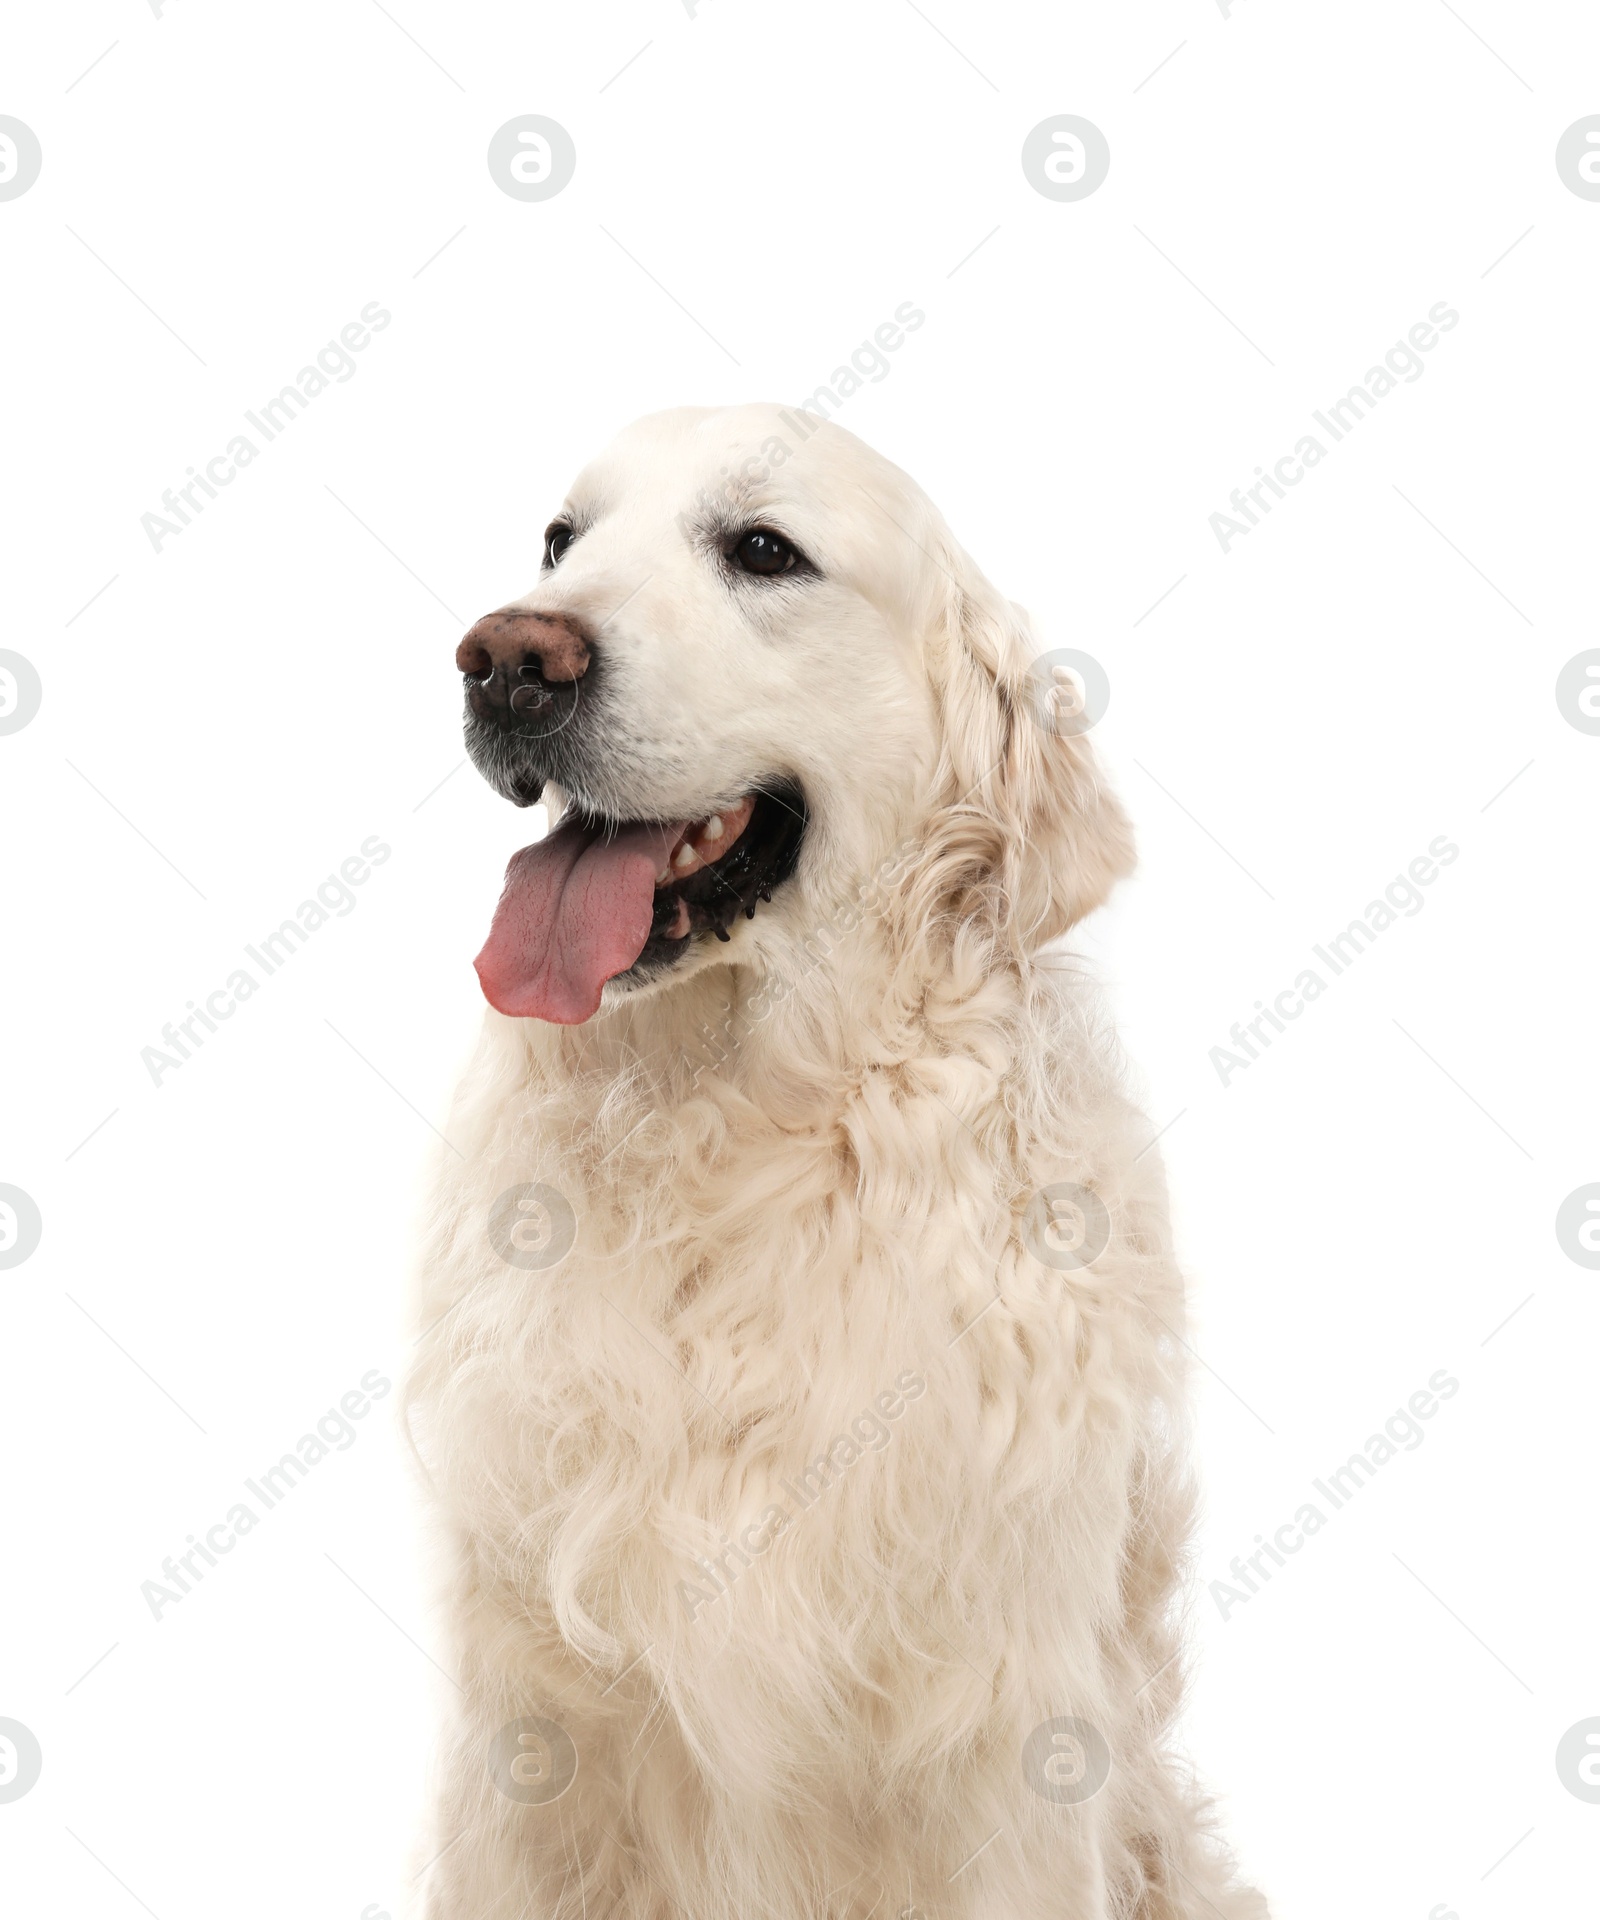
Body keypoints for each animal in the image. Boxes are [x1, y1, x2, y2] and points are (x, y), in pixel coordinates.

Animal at [405, 408, 1267, 1920]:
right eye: (560, 542)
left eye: (764, 551)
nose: (508, 657)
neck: (743, 1133)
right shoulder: (532, 1720)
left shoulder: (1002, 1731)